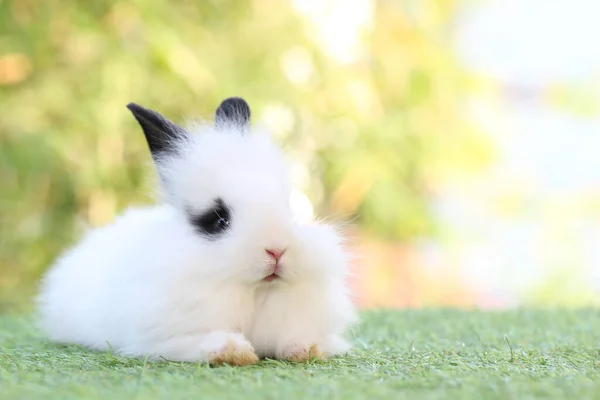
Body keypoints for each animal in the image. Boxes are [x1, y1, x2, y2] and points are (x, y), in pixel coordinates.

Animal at [36, 97, 356, 366]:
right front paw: (233, 353)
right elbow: (199, 342)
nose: (277, 250)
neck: (253, 293)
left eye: (288, 207)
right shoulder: (165, 340)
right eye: (219, 220)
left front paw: (306, 349)